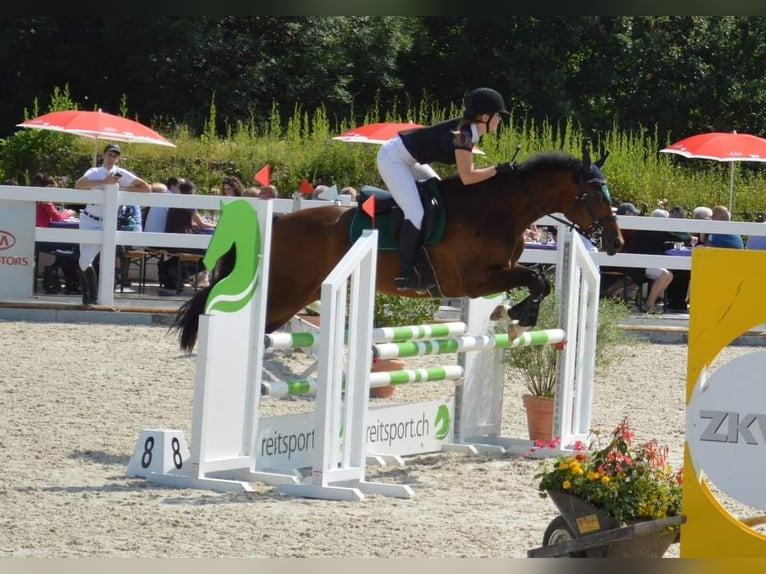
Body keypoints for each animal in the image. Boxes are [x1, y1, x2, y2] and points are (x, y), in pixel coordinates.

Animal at [172, 143, 624, 356]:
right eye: (592, 193)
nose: (616, 242)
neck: (496, 208)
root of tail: (280, 222)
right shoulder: (473, 280)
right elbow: (535, 280)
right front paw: (517, 317)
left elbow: (540, 281)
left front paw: (513, 317)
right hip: (286, 292)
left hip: (295, 297)